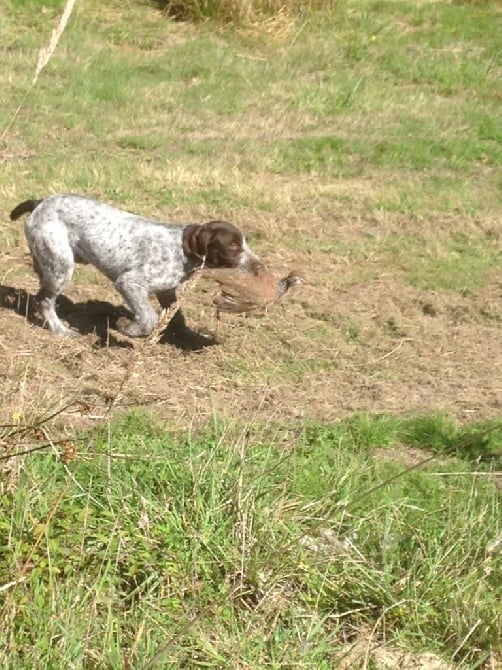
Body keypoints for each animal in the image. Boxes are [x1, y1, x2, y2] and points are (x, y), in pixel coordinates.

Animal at [9, 194, 260, 342]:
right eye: (233, 245)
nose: (258, 265)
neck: (180, 249)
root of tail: (40, 203)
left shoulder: (166, 290)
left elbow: (176, 316)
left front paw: (188, 335)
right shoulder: (129, 283)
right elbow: (148, 318)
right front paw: (127, 329)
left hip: (48, 263)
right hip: (61, 266)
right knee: (44, 299)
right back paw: (60, 330)